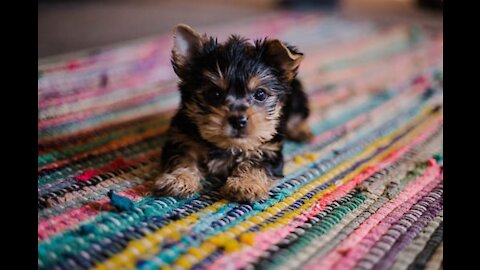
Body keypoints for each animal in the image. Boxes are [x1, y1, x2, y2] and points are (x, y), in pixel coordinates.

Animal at [153, 24, 312, 201]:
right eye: (215, 94)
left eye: (260, 94)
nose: (238, 121)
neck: (227, 146)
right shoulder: (182, 137)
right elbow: (182, 158)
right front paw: (179, 179)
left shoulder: (269, 148)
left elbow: (256, 163)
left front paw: (246, 184)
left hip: (297, 97)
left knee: (299, 114)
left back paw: (301, 130)